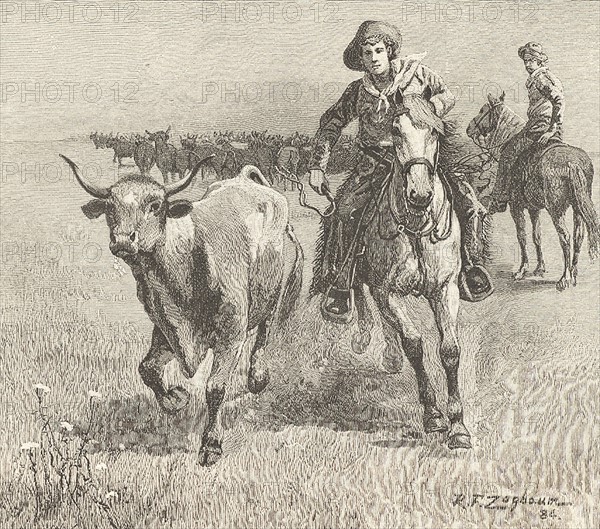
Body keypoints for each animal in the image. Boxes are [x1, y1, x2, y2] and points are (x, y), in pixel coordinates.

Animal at [314, 92, 482, 450]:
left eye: (435, 132)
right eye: (395, 129)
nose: (419, 194)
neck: (416, 226)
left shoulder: (445, 288)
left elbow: (449, 350)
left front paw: (458, 426)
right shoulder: (386, 289)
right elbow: (414, 343)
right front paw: (433, 416)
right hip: (361, 262)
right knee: (360, 292)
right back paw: (369, 338)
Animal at [468, 91, 600, 288]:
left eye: (483, 110)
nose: (469, 129)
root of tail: (573, 163)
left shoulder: (516, 207)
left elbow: (522, 236)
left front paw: (522, 269)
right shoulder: (533, 208)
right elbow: (536, 236)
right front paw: (539, 268)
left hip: (556, 210)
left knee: (565, 237)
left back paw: (565, 278)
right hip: (578, 207)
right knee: (578, 236)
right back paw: (574, 274)